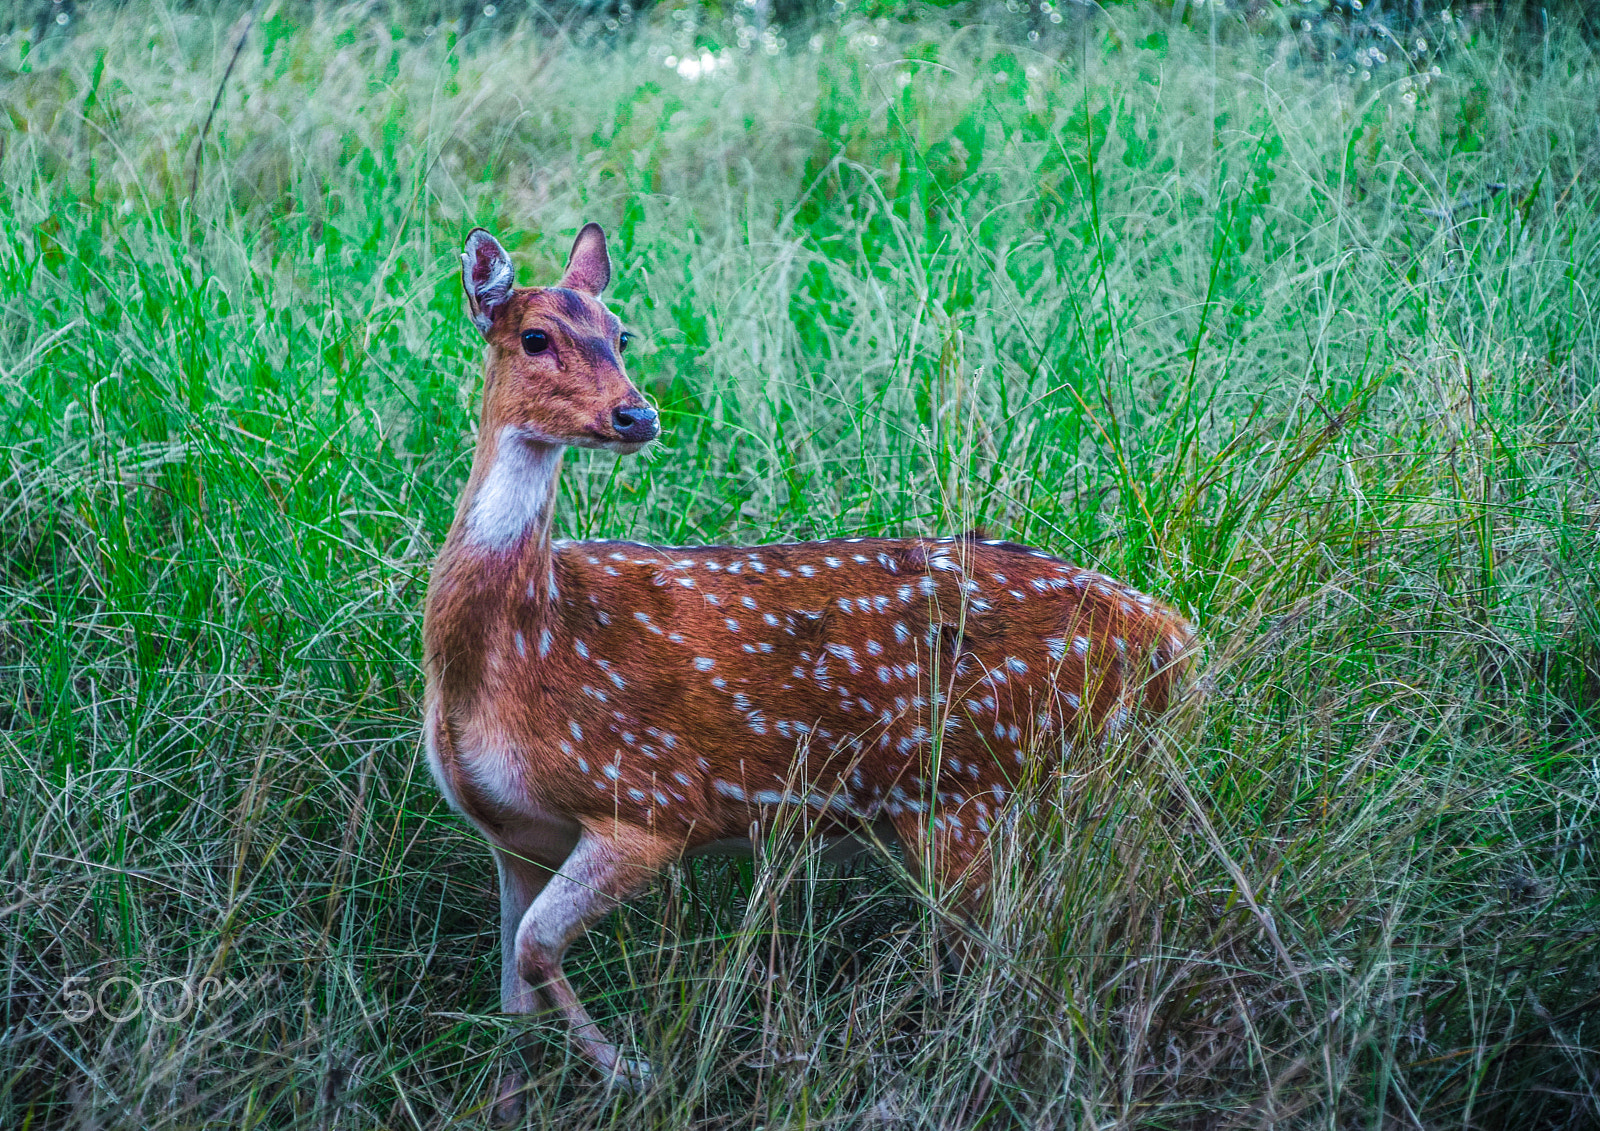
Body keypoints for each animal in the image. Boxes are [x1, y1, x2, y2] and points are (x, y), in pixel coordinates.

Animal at [425, 223, 1203, 1113]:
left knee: (1024, 953)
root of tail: (1174, 636)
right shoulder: (510, 836)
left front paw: (636, 1068)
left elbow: (534, 949)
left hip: (973, 789)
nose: (637, 413)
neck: (515, 645)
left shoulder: (650, 799)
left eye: (622, 335)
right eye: (534, 336)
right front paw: (522, 1098)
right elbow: (511, 1000)